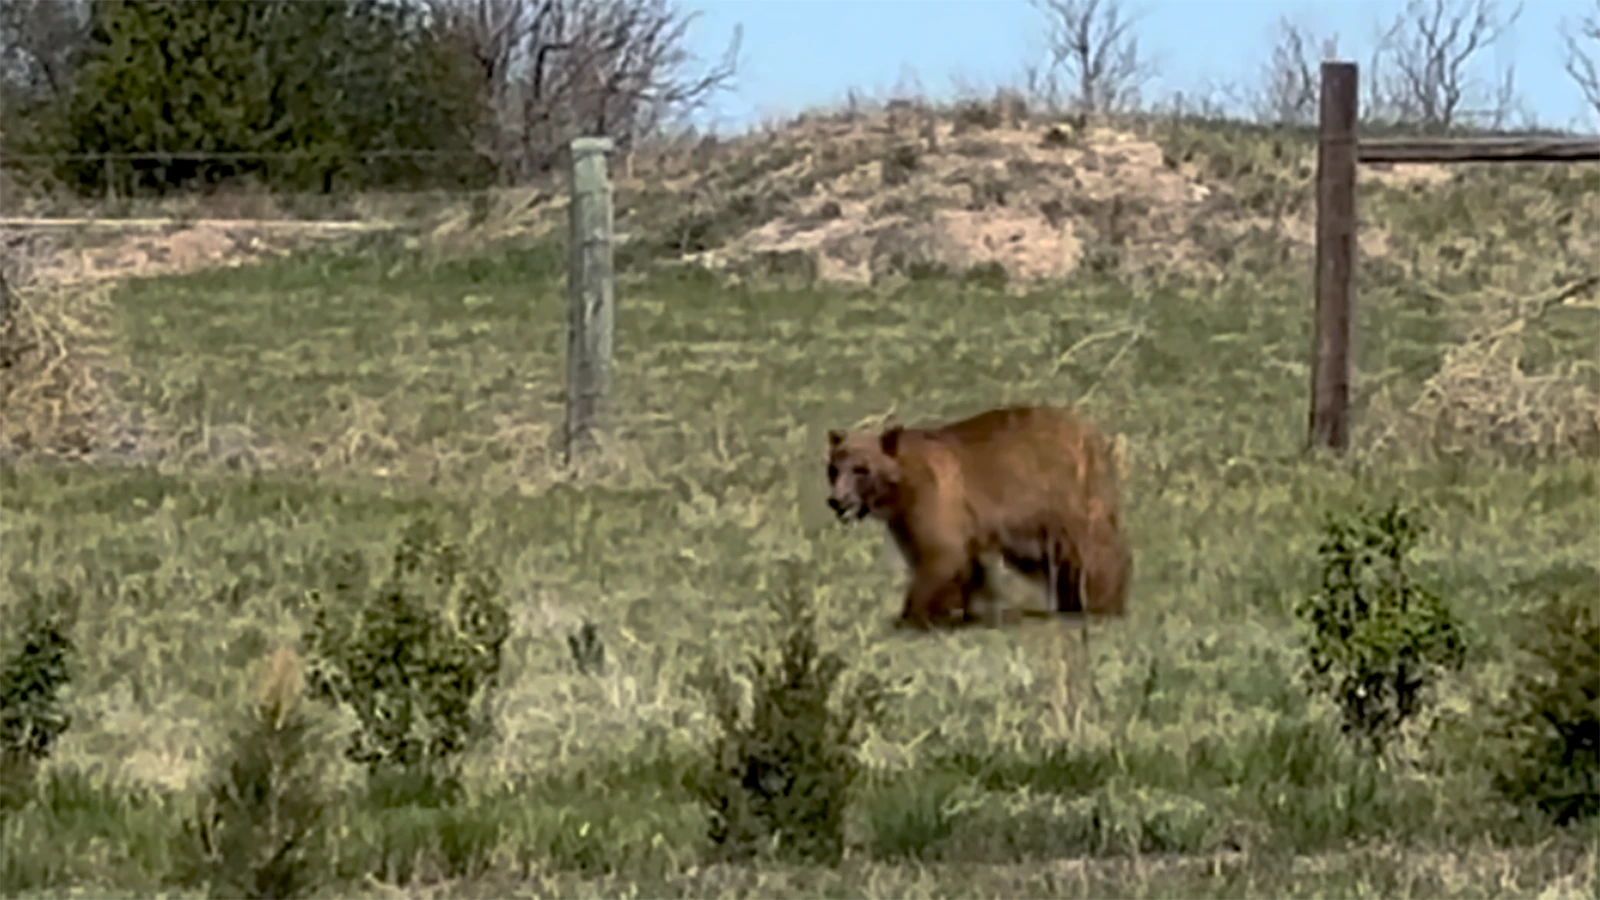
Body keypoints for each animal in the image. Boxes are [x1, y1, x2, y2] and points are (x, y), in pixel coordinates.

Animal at [825, 404, 1131, 630]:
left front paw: (912, 616)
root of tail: (1092, 434)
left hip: (1063, 496)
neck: (901, 490)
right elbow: (961, 566)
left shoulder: (934, 498)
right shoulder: (907, 521)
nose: (836, 501)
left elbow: (941, 554)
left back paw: (1102, 604)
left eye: (861, 469)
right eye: (833, 468)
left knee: (1093, 549)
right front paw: (963, 611)